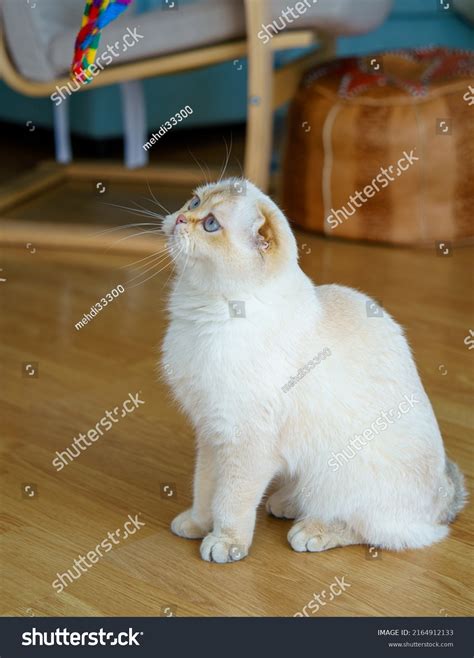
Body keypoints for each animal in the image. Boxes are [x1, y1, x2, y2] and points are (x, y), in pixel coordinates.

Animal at [161, 181, 464, 564]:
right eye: (194, 202)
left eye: (211, 224)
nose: (179, 218)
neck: (201, 314)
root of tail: (442, 496)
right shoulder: (212, 433)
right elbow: (204, 489)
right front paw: (197, 525)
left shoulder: (242, 442)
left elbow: (231, 502)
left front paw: (226, 544)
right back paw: (286, 503)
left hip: (340, 474)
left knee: (374, 530)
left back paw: (312, 530)